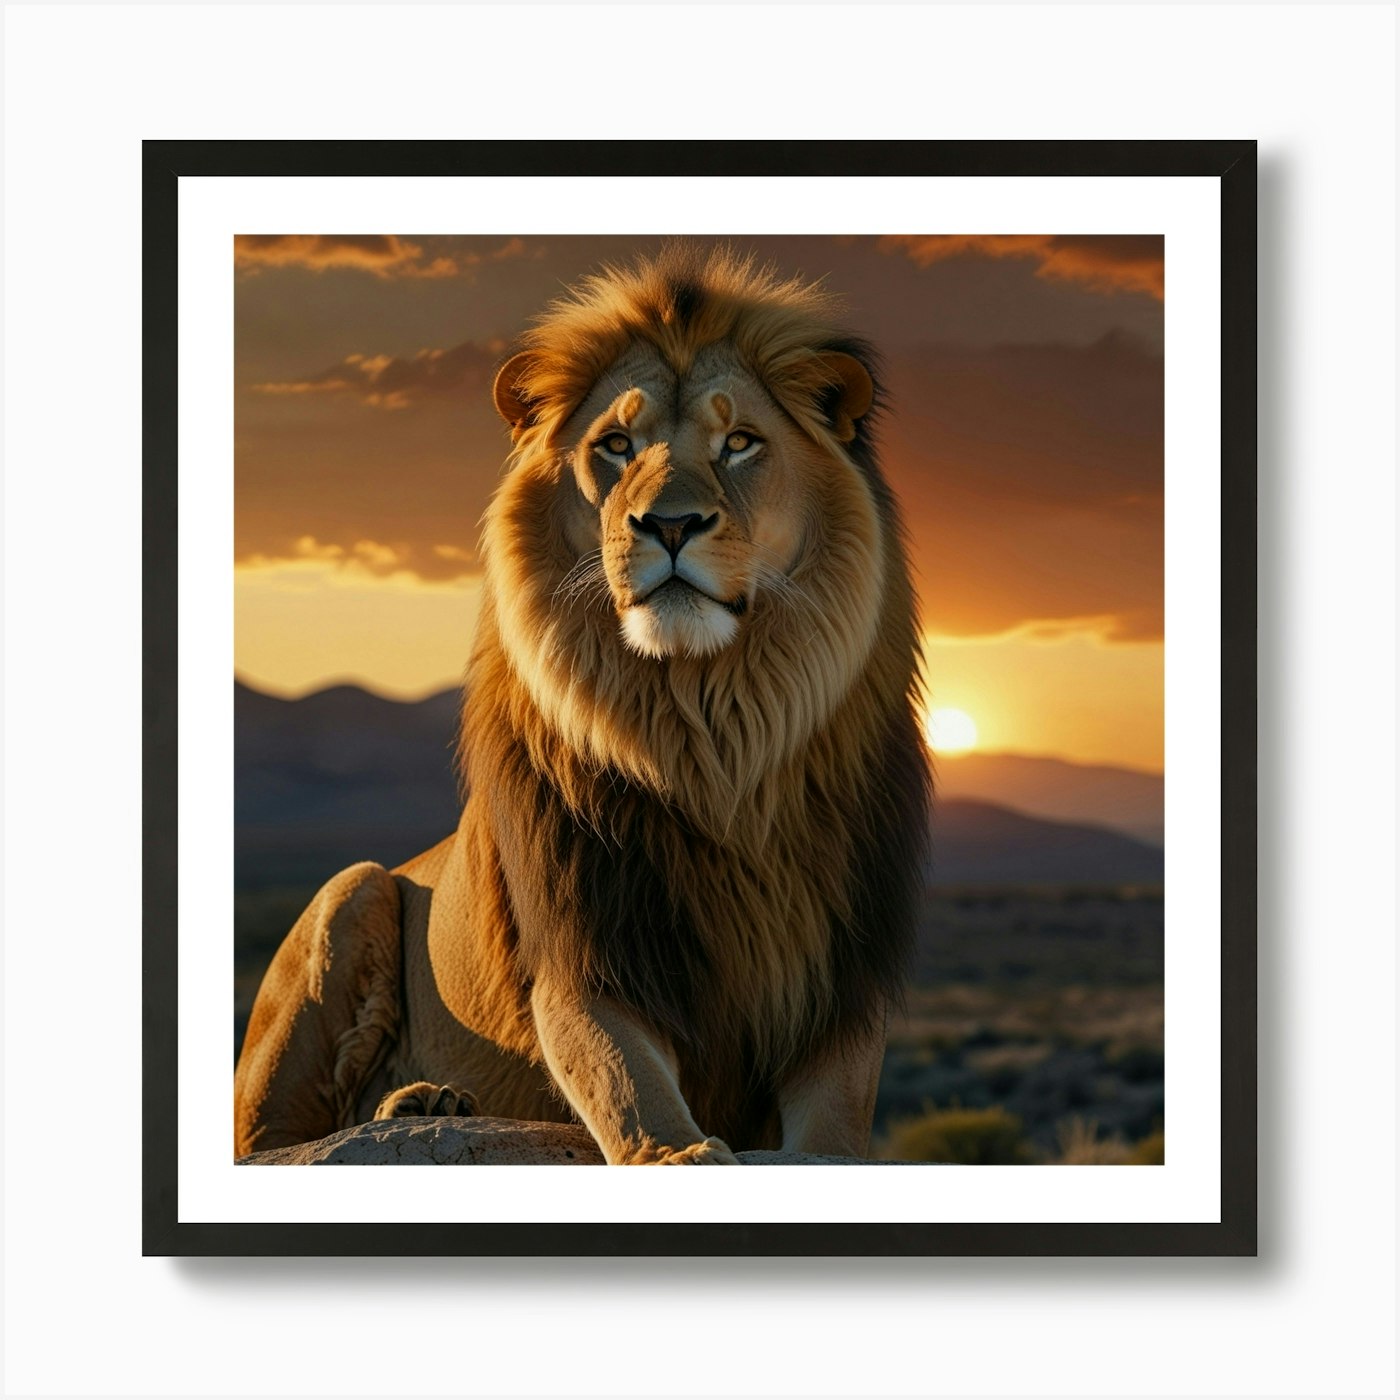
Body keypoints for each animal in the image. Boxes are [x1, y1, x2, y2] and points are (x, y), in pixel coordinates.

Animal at [233, 245, 931, 1165]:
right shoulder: (582, 957)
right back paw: (414, 1099)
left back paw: (432, 1099)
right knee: (267, 1137)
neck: (709, 736)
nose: (669, 525)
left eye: (741, 442)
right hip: (350, 896)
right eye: (616, 445)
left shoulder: (837, 984)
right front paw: (681, 1153)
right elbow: (628, 1085)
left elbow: (835, 1133)